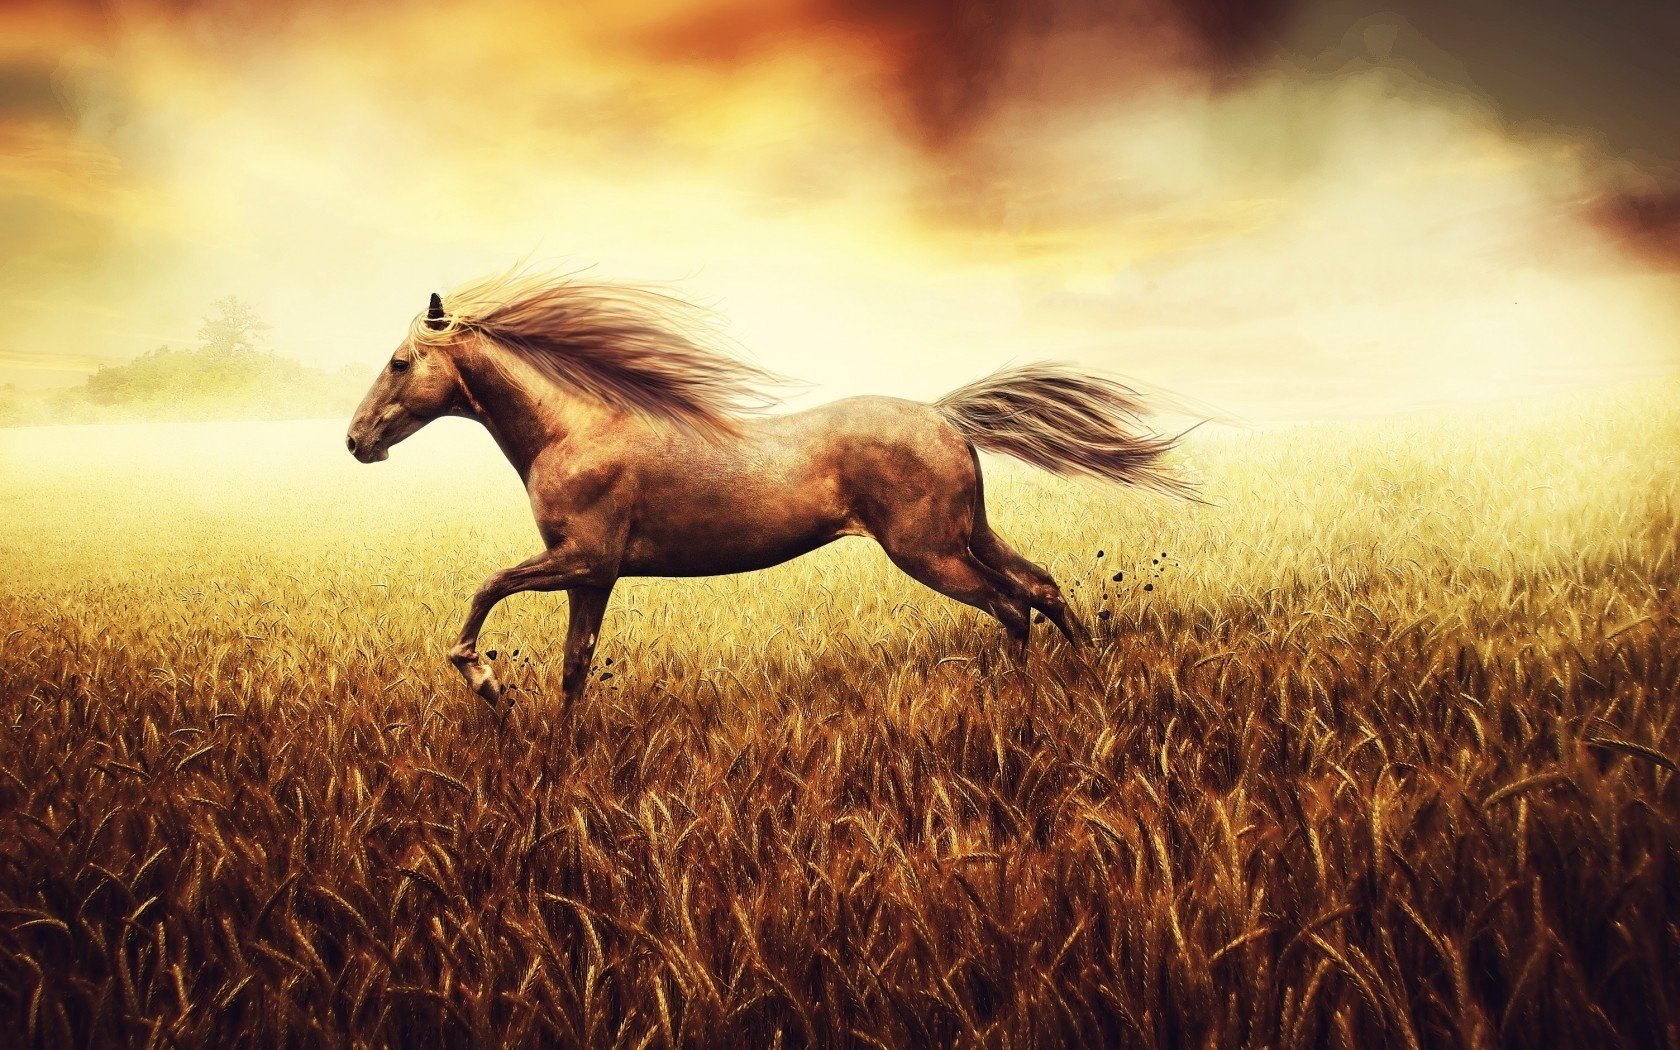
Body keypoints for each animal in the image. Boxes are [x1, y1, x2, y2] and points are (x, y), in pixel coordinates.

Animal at [346, 271, 1194, 711]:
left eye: (398, 362)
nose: (356, 442)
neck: (573, 430)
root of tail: (945, 415)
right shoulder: (592, 576)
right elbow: (574, 667)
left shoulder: (582, 559)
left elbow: (487, 589)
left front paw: (486, 681)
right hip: (967, 533)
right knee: (1041, 585)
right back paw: (1086, 675)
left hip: (927, 551)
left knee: (1010, 604)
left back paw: (1022, 699)